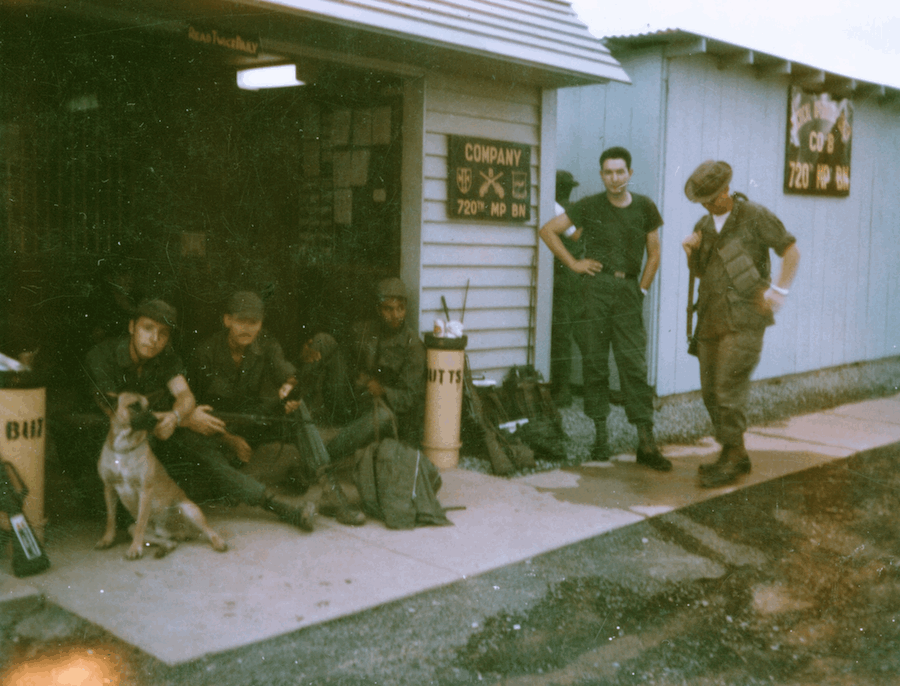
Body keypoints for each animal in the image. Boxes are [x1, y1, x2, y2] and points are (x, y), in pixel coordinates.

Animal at [97, 392, 227, 559]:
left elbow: (141, 523)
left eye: (150, 407)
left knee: (209, 531)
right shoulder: (109, 488)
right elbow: (111, 519)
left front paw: (135, 548)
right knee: (167, 541)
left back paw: (218, 542)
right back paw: (165, 548)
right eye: (134, 406)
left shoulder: (145, 491)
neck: (123, 448)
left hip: (189, 509)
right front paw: (107, 539)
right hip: (134, 528)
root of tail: (178, 532)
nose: (155, 420)